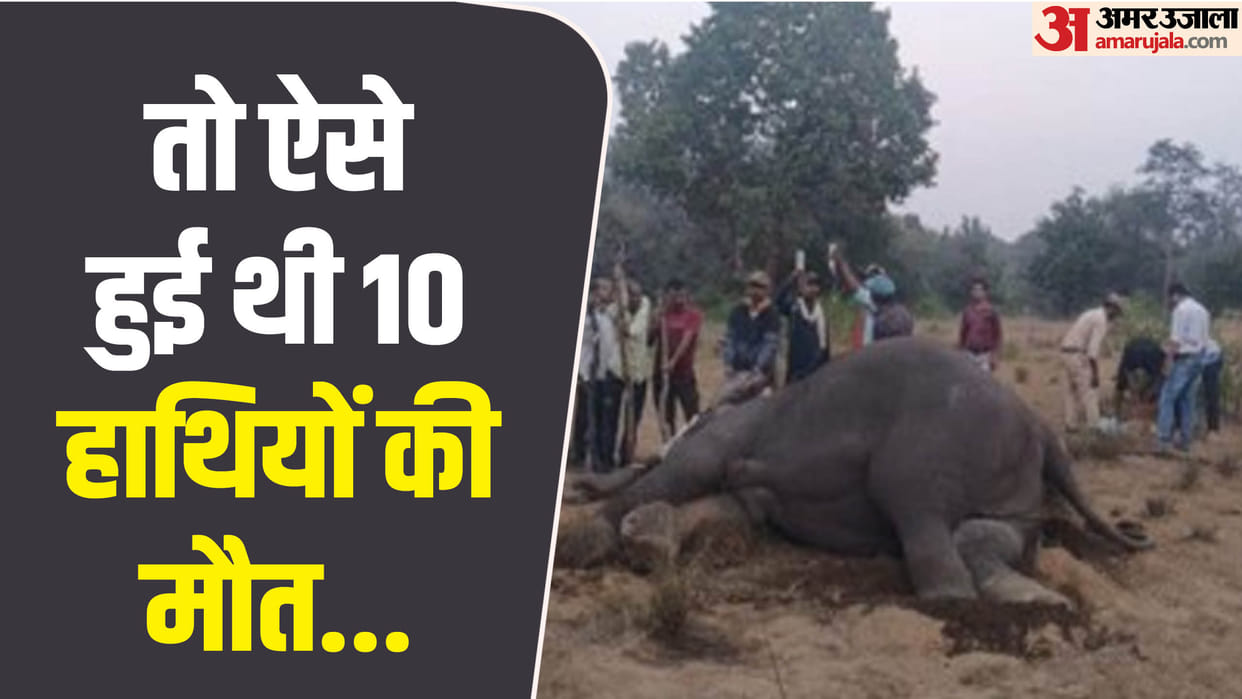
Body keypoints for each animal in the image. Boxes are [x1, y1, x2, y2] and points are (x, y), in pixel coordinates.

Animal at [558, 337, 1152, 605]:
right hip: (1013, 484)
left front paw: (598, 544)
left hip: (926, 448)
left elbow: (692, 472)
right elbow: (728, 509)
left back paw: (957, 600)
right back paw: (1038, 600)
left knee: (919, 514)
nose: (580, 483)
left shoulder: (728, 432)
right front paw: (647, 542)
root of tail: (1040, 424)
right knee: (986, 535)